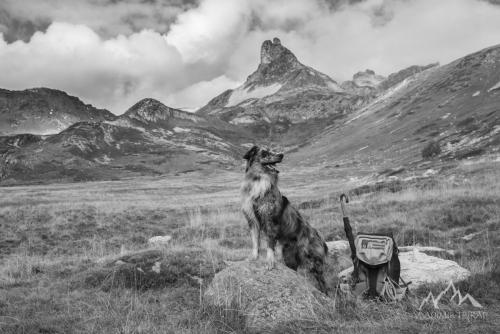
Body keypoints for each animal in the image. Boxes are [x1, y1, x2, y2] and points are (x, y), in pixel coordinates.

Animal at [241, 145, 328, 290]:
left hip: (312, 260)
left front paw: (270, 261)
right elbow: (255, 241)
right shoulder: (252, 220)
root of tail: (319, 236)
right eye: (265, 152)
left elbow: (270, 244)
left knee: (323, 282)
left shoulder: (270, 220)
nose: (281, 154)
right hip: (290, 257)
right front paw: (253, 257)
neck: (259, 179)